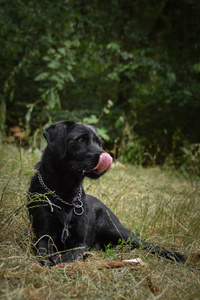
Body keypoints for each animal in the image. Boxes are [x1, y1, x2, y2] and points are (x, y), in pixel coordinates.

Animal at [27, 120, 184, 264]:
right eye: (80, 139)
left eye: (99, 142)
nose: (108, 156)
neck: (65, 192)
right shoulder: (43, 234)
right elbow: (44, 251)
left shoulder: (80, 242)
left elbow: (71, 255)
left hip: (117, 231)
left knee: (146, 243)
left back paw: (175, 255)